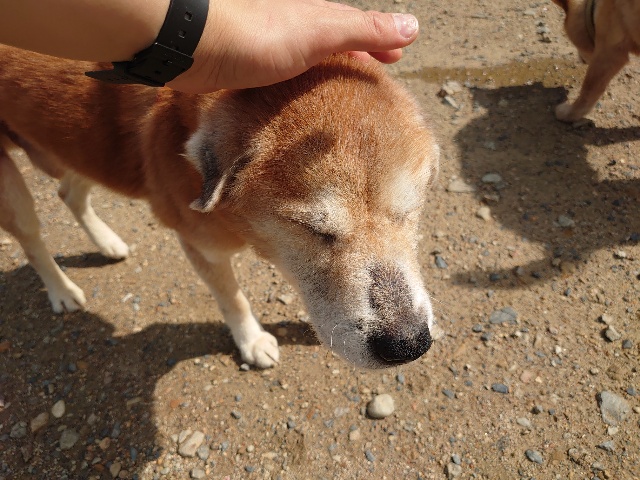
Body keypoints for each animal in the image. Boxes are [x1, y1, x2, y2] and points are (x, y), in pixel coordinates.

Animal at [0, 46, 439, 369]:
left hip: (80, 152)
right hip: (15, 190)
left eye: (408, 212)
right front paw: (252, 341)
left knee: (69, 193)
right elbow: (233, 298)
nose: (407, 345)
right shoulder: (202, 249)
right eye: (312, 229)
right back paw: (62, 291)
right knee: (33, 242)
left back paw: (108, 243)